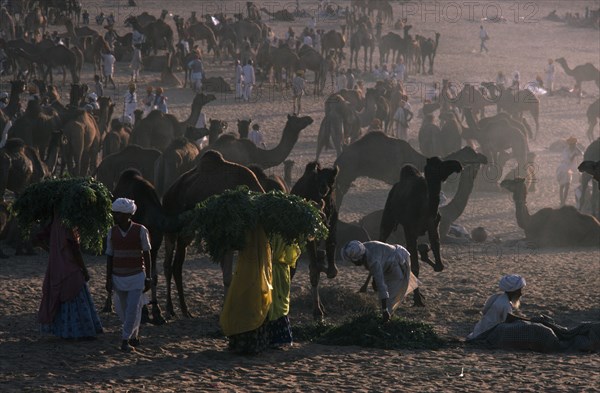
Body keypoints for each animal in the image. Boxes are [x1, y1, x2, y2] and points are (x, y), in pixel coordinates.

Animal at [161, 149, 264, 316]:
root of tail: (166, 195)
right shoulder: (227, 238)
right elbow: (228, 277)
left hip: (186, 233)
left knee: (176, 265)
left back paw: (183, 310)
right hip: (171, 229)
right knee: (168, 265)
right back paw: (172, 309)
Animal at [290, 162, 338, 318]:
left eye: (332, 179)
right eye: (318, 179)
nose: (323, 188)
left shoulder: (332, 230)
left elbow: (332, 271)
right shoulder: (309, 237)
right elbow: (315, 269)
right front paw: (317, 311)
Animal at [380, 158, 464, 304]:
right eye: (437, 166)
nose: (457, 164)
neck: (425, 209)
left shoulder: (434, 225)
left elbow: (438, 261)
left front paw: (425, 252)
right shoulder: (410, 230)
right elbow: (415, 266)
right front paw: (418, 300)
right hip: (388, 216)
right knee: (382, 238)